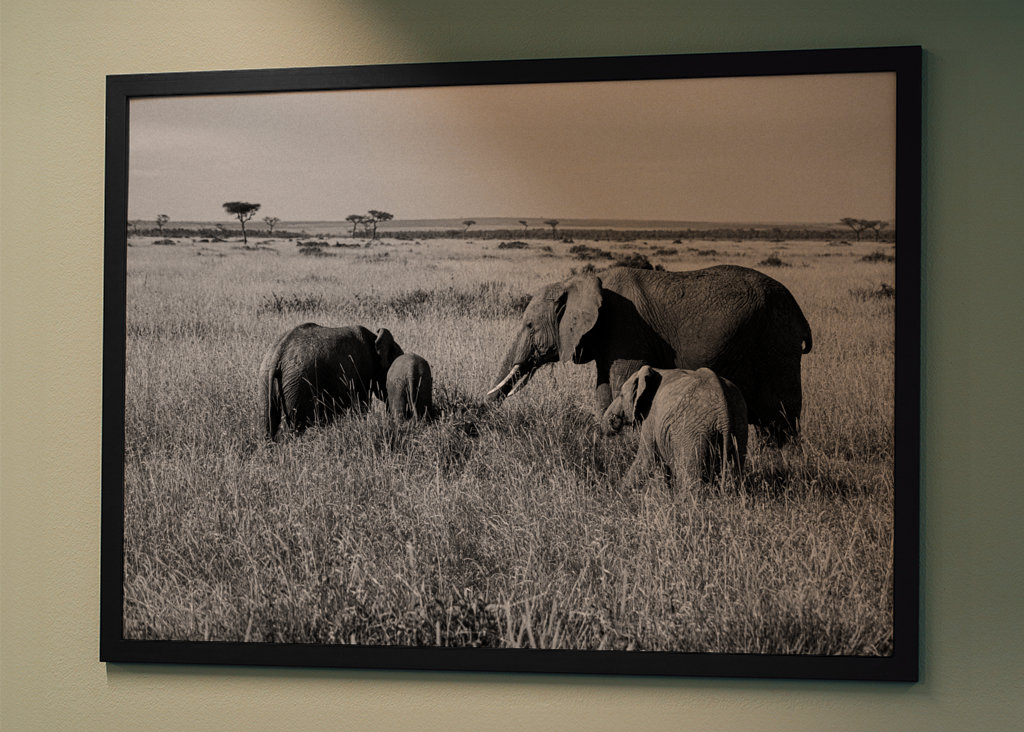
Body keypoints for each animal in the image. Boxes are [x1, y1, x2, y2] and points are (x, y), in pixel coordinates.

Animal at [259, 323, 403, 439]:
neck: (374, 338)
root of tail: (279, 352)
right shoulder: (362, 373)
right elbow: (361, 407)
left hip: (266, 380)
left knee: (268, 423)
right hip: (297, 385)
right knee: (296, 427)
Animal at [486, 264, 811, 445]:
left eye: (529, 326)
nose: (481, 414)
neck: (585, 281)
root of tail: (799, 312)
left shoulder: (627, 329)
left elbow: (622, 384)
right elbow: (603, 390)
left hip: (775, 340)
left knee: (780, 415)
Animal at [601, 365, 748, 488]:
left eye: (621, 395)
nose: (612, 420)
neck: (656, 370)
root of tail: (723, 408)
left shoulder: (651, 415)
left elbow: (646, 458)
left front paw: (618, 492)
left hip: (691, 432)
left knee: (691, 476)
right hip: (739, 425)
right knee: (737, 467)